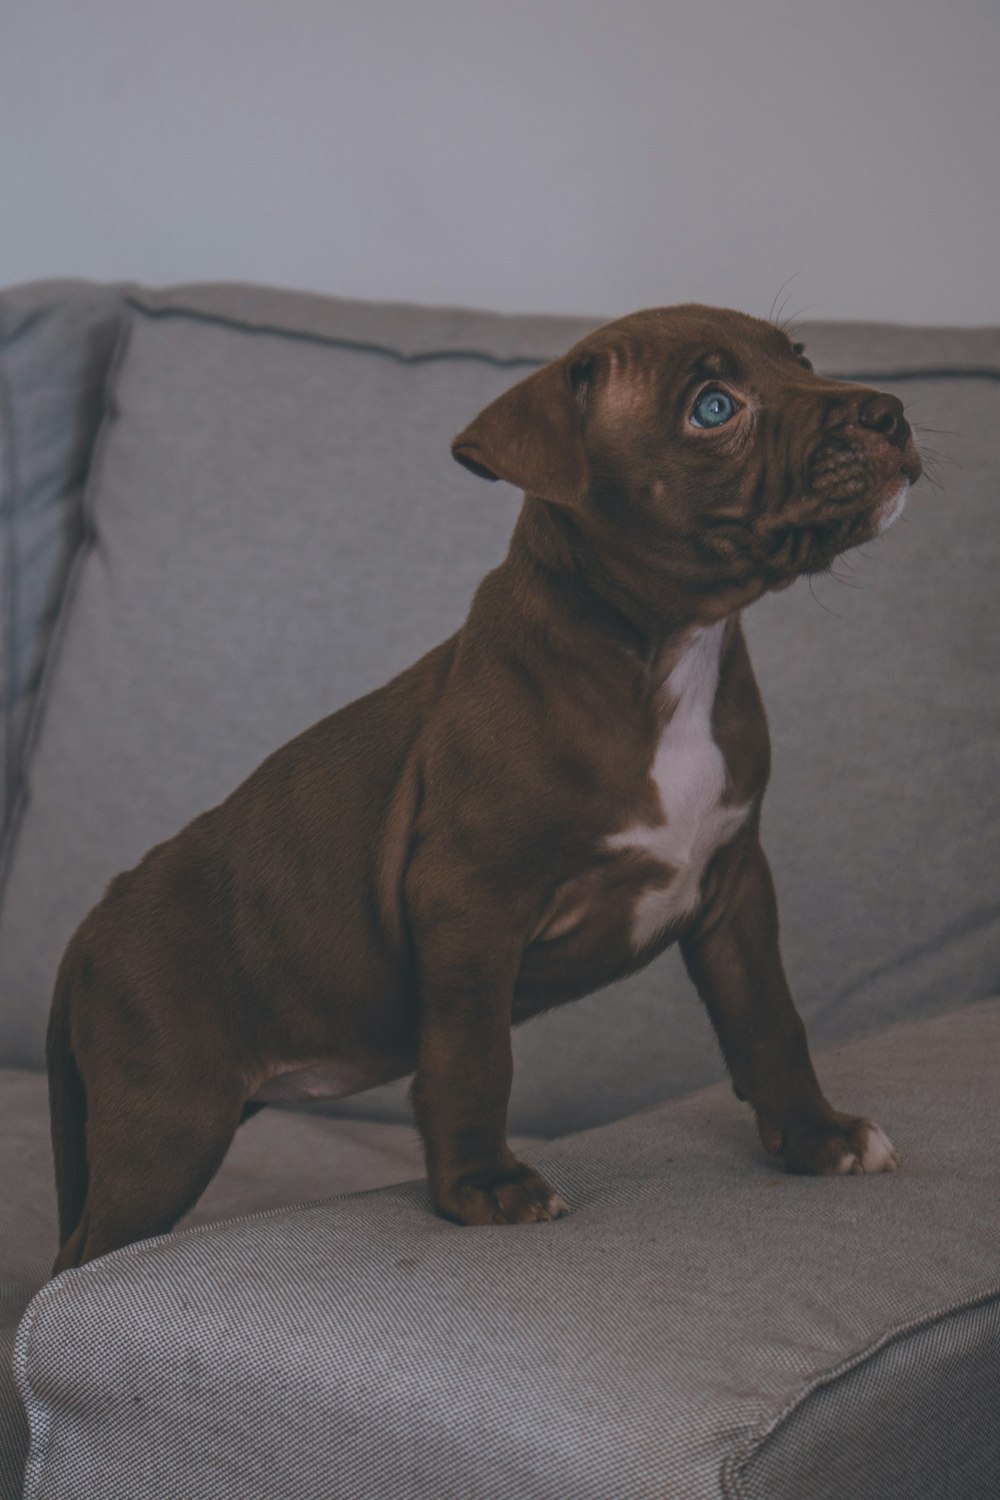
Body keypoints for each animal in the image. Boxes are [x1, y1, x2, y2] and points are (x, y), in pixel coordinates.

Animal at [46, 304, 923, 1278]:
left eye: (800, 357)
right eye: (713, 407)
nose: (888, 411)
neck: (664, 655)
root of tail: (91, 931)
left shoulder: (733, 882)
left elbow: (768, 1015)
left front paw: (817, 1136)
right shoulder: (469, 903)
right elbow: (473, 1058)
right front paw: (482, 1189)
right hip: (168, 1119)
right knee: (84, 1255)